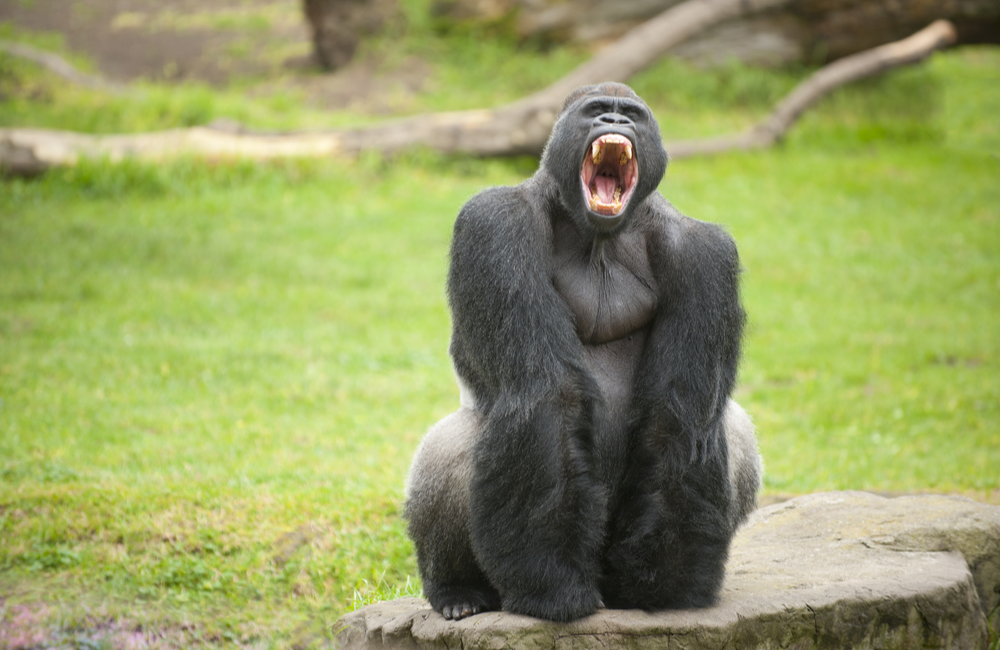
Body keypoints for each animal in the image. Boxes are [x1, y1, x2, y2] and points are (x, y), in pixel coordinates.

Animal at [402, 82, 760, 624]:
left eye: (632, 115)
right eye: (596, 112)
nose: (614, 121)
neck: (599, 236)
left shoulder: (706, 253)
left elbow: (678, 415)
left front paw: (665, 579)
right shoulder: (495, 223)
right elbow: (551, 395)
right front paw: (552, 585)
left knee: (730, 425)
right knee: (453, 441)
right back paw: (457, 588)